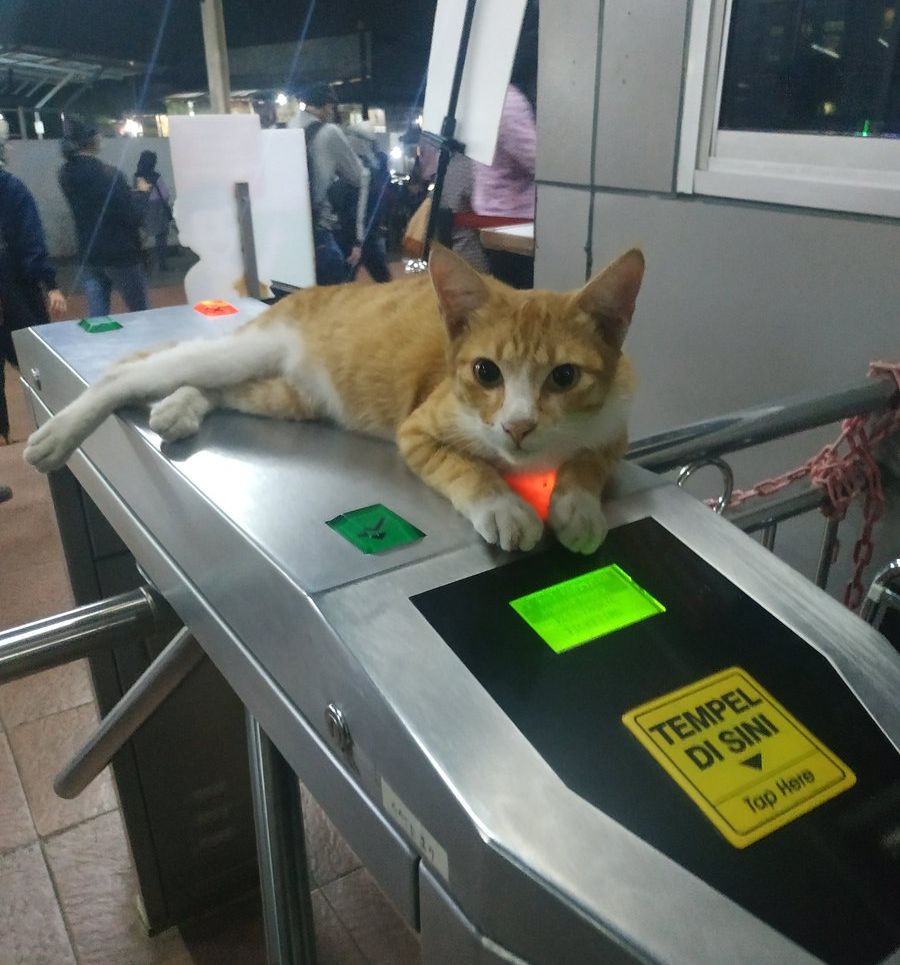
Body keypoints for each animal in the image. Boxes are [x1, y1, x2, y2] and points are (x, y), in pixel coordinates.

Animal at [24, 243, 644, 548]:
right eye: (485, 372)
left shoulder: (614, 427)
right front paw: (503, 505)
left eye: (564, 377)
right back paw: (59, 433)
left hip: (292, 395)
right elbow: (467, 467)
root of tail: (293, 297)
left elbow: (591, 462)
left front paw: (577, 505)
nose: (517, 427)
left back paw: (180, 406)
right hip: (246, 352)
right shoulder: (419, 429)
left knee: (228, 388)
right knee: (129, 374)